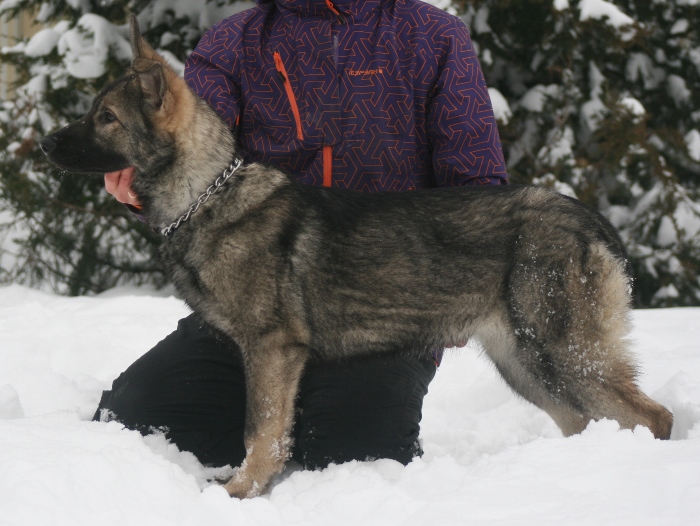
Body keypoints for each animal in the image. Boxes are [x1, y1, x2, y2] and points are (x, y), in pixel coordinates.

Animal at [39, 18, 672, 502]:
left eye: (106, 118)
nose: (43, 144)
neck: (207, 194)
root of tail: (586, 216)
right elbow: (270, 429)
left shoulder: (271, 351)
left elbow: (260, 429)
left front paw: (243, 491)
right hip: (526, 362)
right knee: (585, 420)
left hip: (562, 354)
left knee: (651, 418)